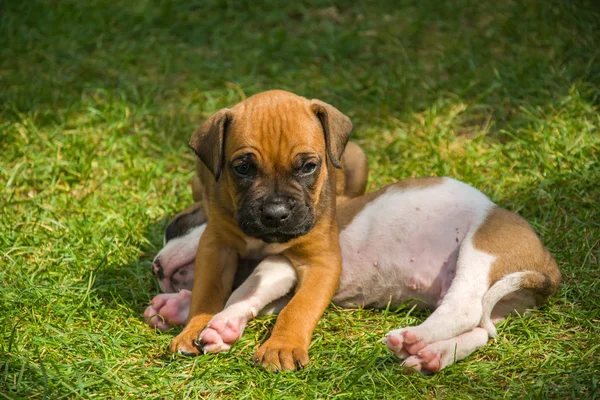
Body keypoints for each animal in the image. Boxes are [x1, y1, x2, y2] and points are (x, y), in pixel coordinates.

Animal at [145, 177, 556, 374]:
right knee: (478, 331)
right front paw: (178, 309)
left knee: (464, 309)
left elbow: (241, 292)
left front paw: (219, 324)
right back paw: (430, 356)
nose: (155, 267)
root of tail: (547, 263)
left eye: (179, 224)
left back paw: (413, 339)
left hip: (480, 251)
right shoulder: (285, 282)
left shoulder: (283, 265)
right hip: (495, 303)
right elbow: (253, 298)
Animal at [169, 89, 354, 370]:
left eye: (309, 167)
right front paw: (193, 330)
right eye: (243, 168)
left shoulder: (321, 261)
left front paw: (281, 346)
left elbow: (298, 308)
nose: (275, 214)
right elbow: (206, 293)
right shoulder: (216, 247)